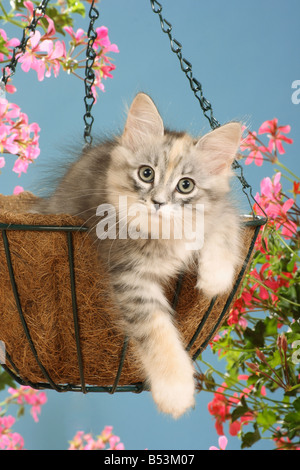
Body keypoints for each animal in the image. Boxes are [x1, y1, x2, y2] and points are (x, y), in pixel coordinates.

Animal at [35, 92, 243, 418]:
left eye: (185, 185)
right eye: (147, 173)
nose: (158, 202)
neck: (164, 236)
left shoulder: (221, 210)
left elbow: (226, 222)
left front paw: (215, 279)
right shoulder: (130, 277)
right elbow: (157, 331)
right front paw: (175, 390)